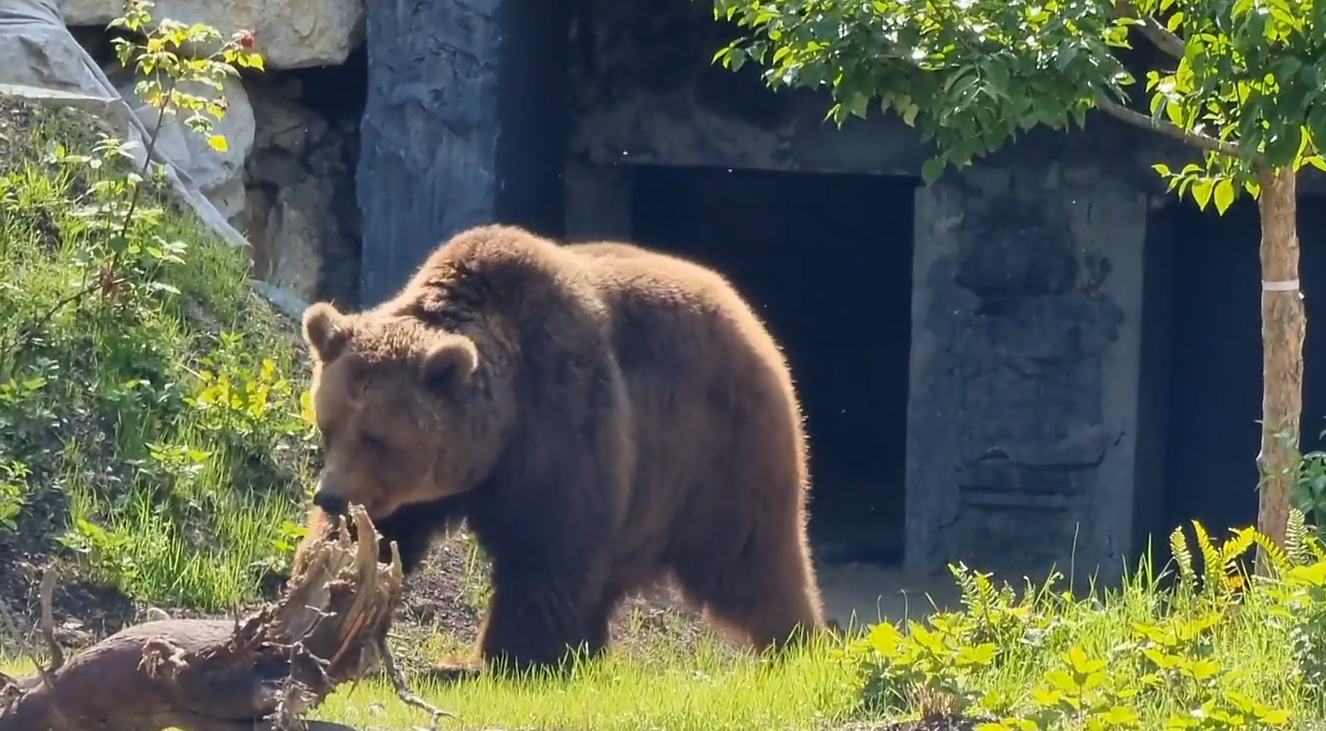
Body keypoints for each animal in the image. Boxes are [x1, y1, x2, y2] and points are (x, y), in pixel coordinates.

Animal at [295, 222, 822, 673]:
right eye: (328, 426)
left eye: (376, 438)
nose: (330, 497)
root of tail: (748, 317)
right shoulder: (419, 489)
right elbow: (385, 534)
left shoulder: (562, 418)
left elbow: (546, 548)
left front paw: (500, 659)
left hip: (719, 453)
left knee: (752, 560)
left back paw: (796, 644)